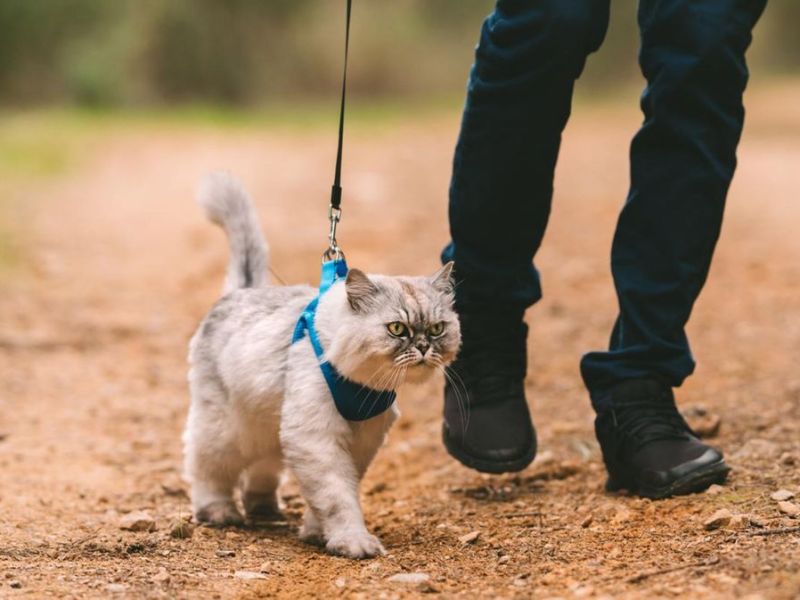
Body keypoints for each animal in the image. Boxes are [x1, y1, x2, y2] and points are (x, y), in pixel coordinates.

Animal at [180, 172, 456, 556]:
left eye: (436, 329)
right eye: (397, 329)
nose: (424, 347)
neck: (363, 385)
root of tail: (241, 291)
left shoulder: (360, 440)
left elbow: (328, 495)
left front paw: (316, 532)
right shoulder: (317, 438)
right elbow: (337, 497)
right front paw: (352, 541)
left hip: (268, 426)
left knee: (262, 471)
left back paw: (263, 508)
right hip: (227, 430)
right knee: (207, 470)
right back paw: (219, 511)